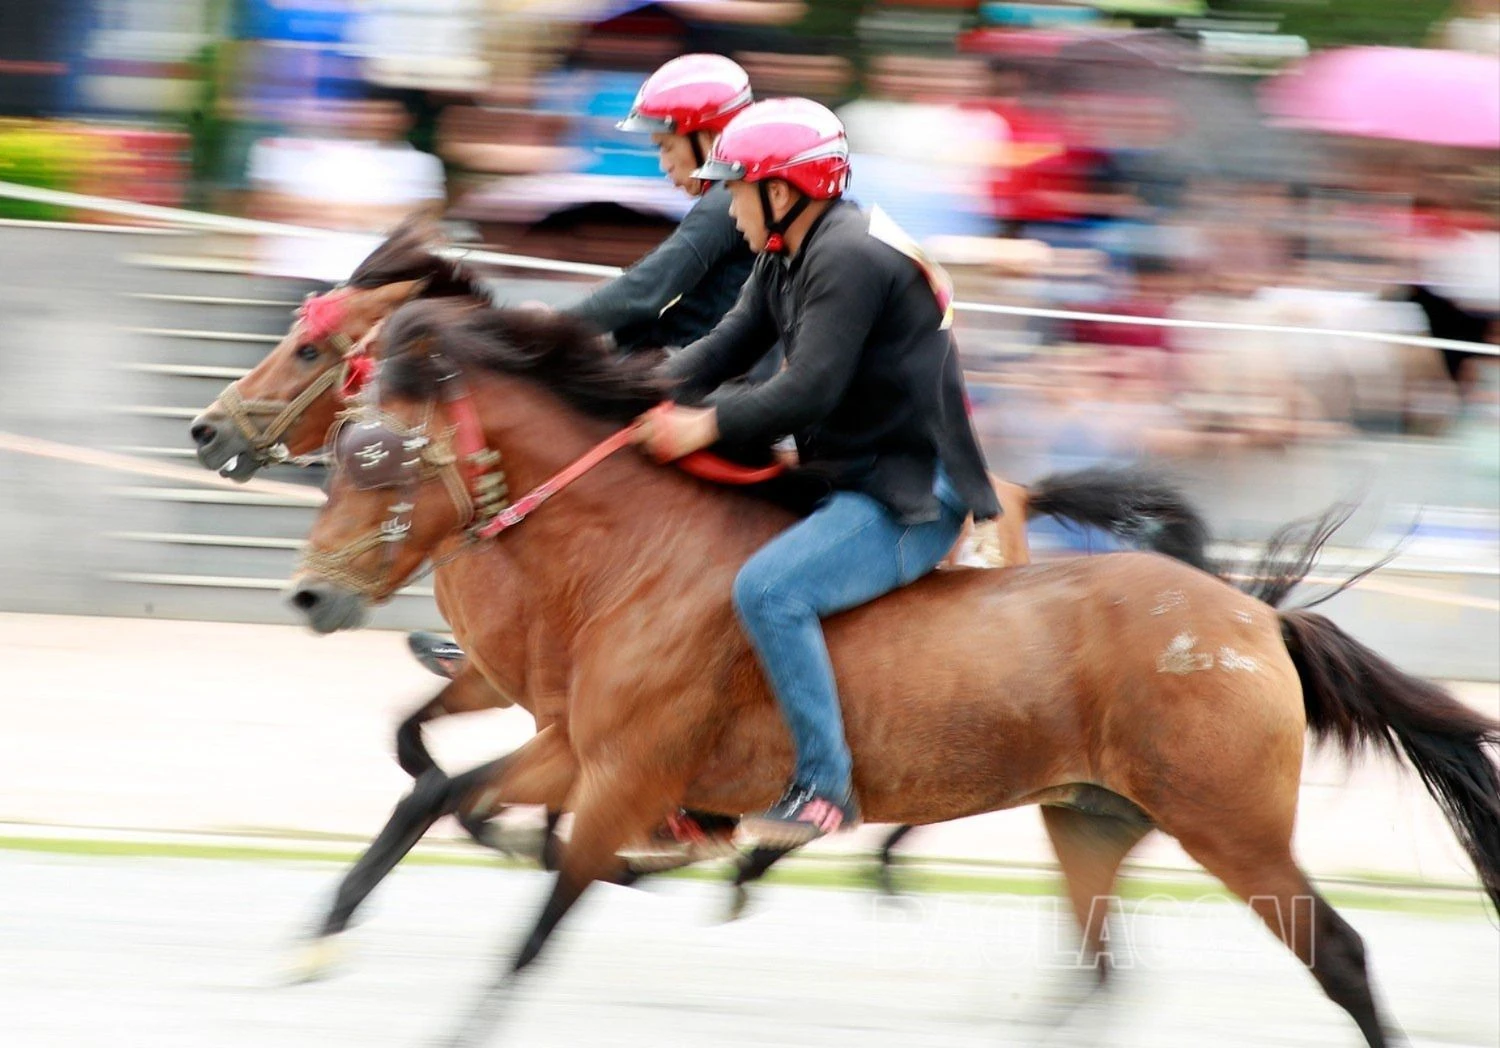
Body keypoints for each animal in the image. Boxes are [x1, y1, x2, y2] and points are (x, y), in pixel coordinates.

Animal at [286, 299, 1494, 1043]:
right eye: (339, 444)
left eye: (374, 453)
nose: (306, 595)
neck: (635, 554)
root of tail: (1253, 617)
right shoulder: (578, 748)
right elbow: (441, 794)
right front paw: (321, 936)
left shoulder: (625, 774)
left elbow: (535, 924)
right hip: (1093, 818)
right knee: (1101, 971)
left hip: (1234, 827)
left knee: (1339, 954)